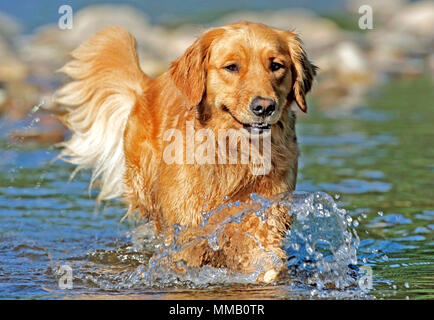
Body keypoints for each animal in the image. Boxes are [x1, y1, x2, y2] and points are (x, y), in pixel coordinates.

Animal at [53, 21, 316, 282]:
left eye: (276, 66)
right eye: (231, 67)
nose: (264, 107)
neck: (236, 154)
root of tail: (149, 84)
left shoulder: (264, 219)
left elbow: (267, 263)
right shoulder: (188, 229)